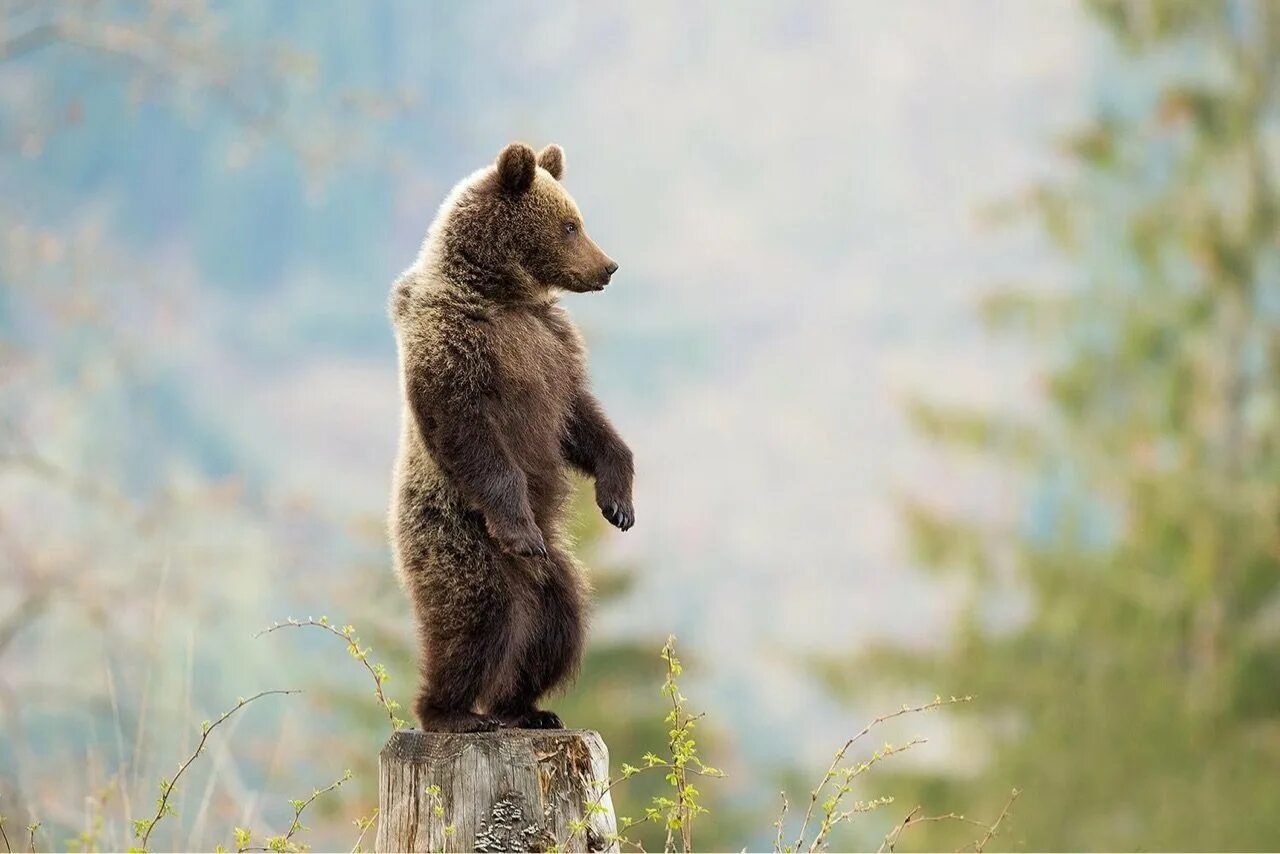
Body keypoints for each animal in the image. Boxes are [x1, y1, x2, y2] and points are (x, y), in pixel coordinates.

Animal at [386, 142, 632, 737]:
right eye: (570, 224)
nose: (608, 266)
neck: (501, 294)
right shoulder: (456, 344)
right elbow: (470, 433)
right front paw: (520, 526)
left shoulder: (554, 349)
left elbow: (582, 421)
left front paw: (619, 501)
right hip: (458, 539)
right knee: (478, 616)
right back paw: (451, 711)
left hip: (557, 574)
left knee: (559, 625)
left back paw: (526, 707)